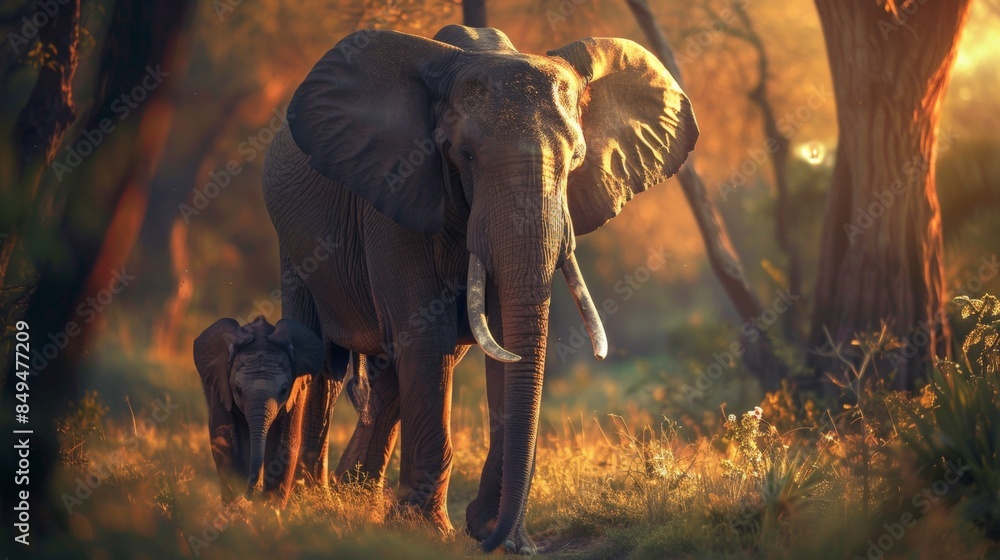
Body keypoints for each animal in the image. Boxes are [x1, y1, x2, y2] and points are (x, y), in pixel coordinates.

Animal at [193, 316, 325, 506]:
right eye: (238, 390)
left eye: (284, 390)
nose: (249, 496)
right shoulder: (219, 387)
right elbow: (225, 440)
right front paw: (237, 506)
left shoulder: (297, 393)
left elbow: (285, 442)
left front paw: (269, 508)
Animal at [263, 24, 698, 552]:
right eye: (464, 154)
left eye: (576, 160)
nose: (488, 538)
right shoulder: (394, 191)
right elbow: (424, 336)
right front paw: (429, 532)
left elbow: (503, 341)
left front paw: (502, 538)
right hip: (292, 241)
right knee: (319, 357)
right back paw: (299, 502)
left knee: (387, 375)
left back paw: (353, 498)